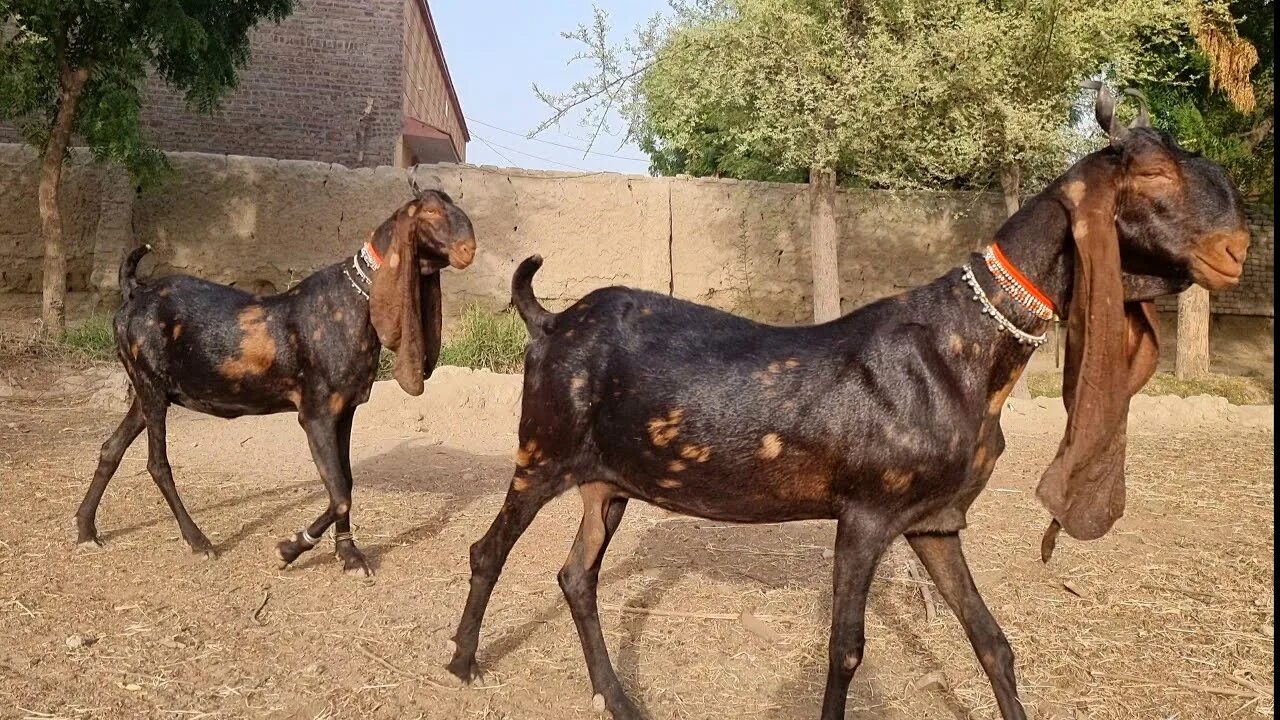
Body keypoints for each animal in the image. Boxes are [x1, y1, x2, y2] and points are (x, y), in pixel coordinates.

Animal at [442, 85, 1249, 717]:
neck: (966, 348)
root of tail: (548, 321)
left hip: (607, 481)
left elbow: (991, 641)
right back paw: (462, 663)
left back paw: (618, 697)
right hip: (541, 451)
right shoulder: (865, 512)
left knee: (576, 575)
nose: (1237, 250)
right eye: (1152, 171)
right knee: (488, 549)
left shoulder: (934, 521)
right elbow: (846, 651)